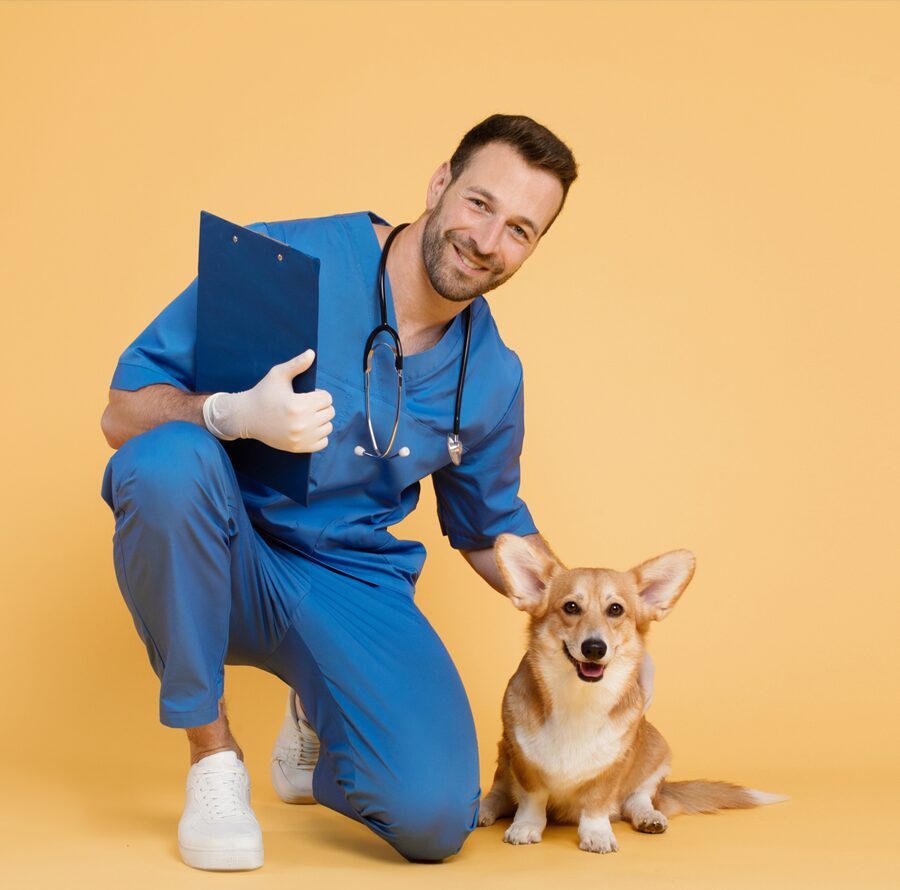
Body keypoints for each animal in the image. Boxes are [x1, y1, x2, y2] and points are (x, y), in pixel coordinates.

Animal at [478, 532, 780, 848]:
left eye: (615, 609)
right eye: (571, 607)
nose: (594, 648)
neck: (579, 698)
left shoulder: (614, 765)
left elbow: (597, 802)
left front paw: (596, 834)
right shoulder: (523, 761)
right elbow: (532, 798)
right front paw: (526, 826)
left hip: (657, 755)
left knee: (637, 800)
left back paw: (649, 817)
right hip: (504, 757)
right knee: (500, 793)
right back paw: (483, 811)